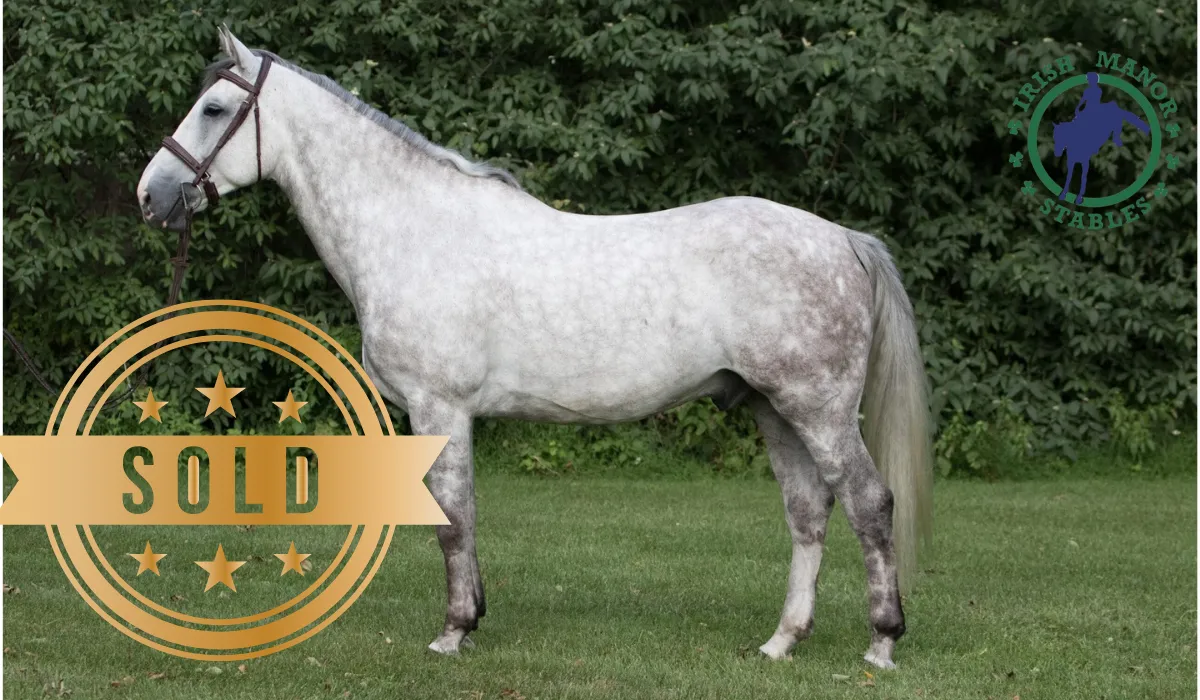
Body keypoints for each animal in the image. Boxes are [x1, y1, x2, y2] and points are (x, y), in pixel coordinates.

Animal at [137, 26, 933, 670]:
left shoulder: (438, 408)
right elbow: (459, 514)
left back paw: (881, 643)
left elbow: (451, 517)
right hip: (775, 409)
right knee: (808, 513)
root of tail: (844, 240)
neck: (416, 230)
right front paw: (471, 619)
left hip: (818, 408)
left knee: (869, 504)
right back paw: (781, 642)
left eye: (214, 110)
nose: (151, 195)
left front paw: (453, 632)